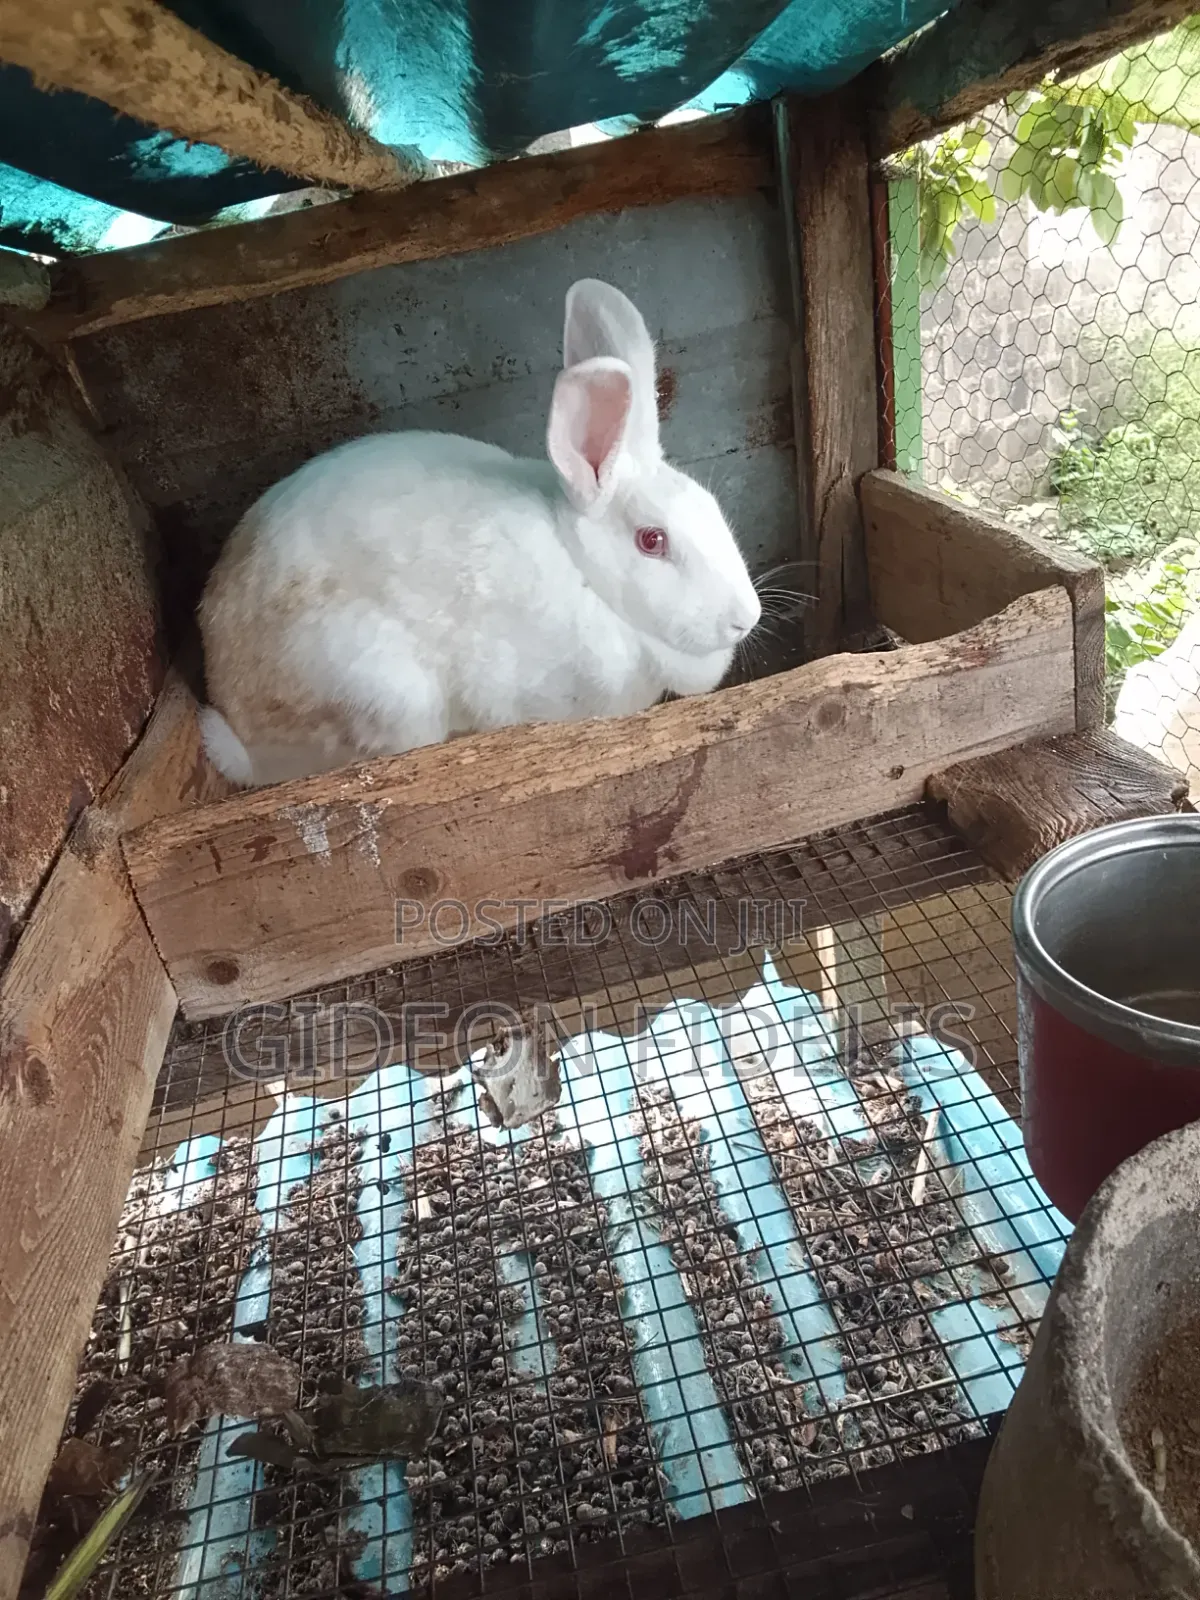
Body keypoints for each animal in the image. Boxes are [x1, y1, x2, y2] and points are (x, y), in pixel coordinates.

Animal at [198, 277, 762, 788]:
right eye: (652, 540)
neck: (585, 572)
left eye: (713, 507)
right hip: (387, 694)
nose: (746, 618)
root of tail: (239, 733)